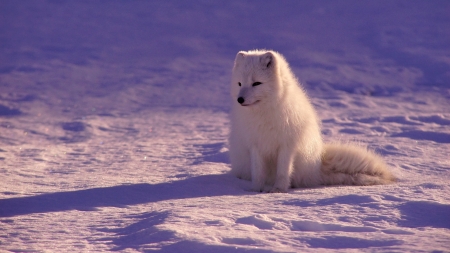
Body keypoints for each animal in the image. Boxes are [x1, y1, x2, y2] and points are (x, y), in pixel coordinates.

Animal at [230, 49, 396, 193]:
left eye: (256, 83)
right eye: (239, 83)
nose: (240, 99)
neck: (264, 114)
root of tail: (317, 167)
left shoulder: (287, 145)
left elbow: (283, 171)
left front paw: (278, 190)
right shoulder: (255, 145)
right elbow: (258, 172)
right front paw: (255, 190)